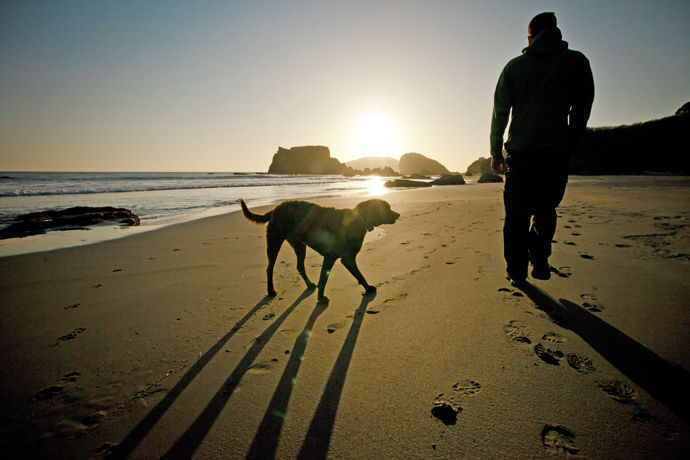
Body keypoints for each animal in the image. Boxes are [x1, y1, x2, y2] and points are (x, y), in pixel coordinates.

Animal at [239, 197, 398, 302]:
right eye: (387, 208)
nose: (398, 214)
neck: (360, 219)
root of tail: (274, 209)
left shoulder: (331, 257)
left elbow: (324, 278)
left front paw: (320, 296)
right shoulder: (344, 258)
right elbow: (358, 276)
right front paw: (368, 288)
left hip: (299, 245)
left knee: (299, 265)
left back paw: (309, 284)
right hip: (274, 242)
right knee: (269, 268)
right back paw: (271, 290)